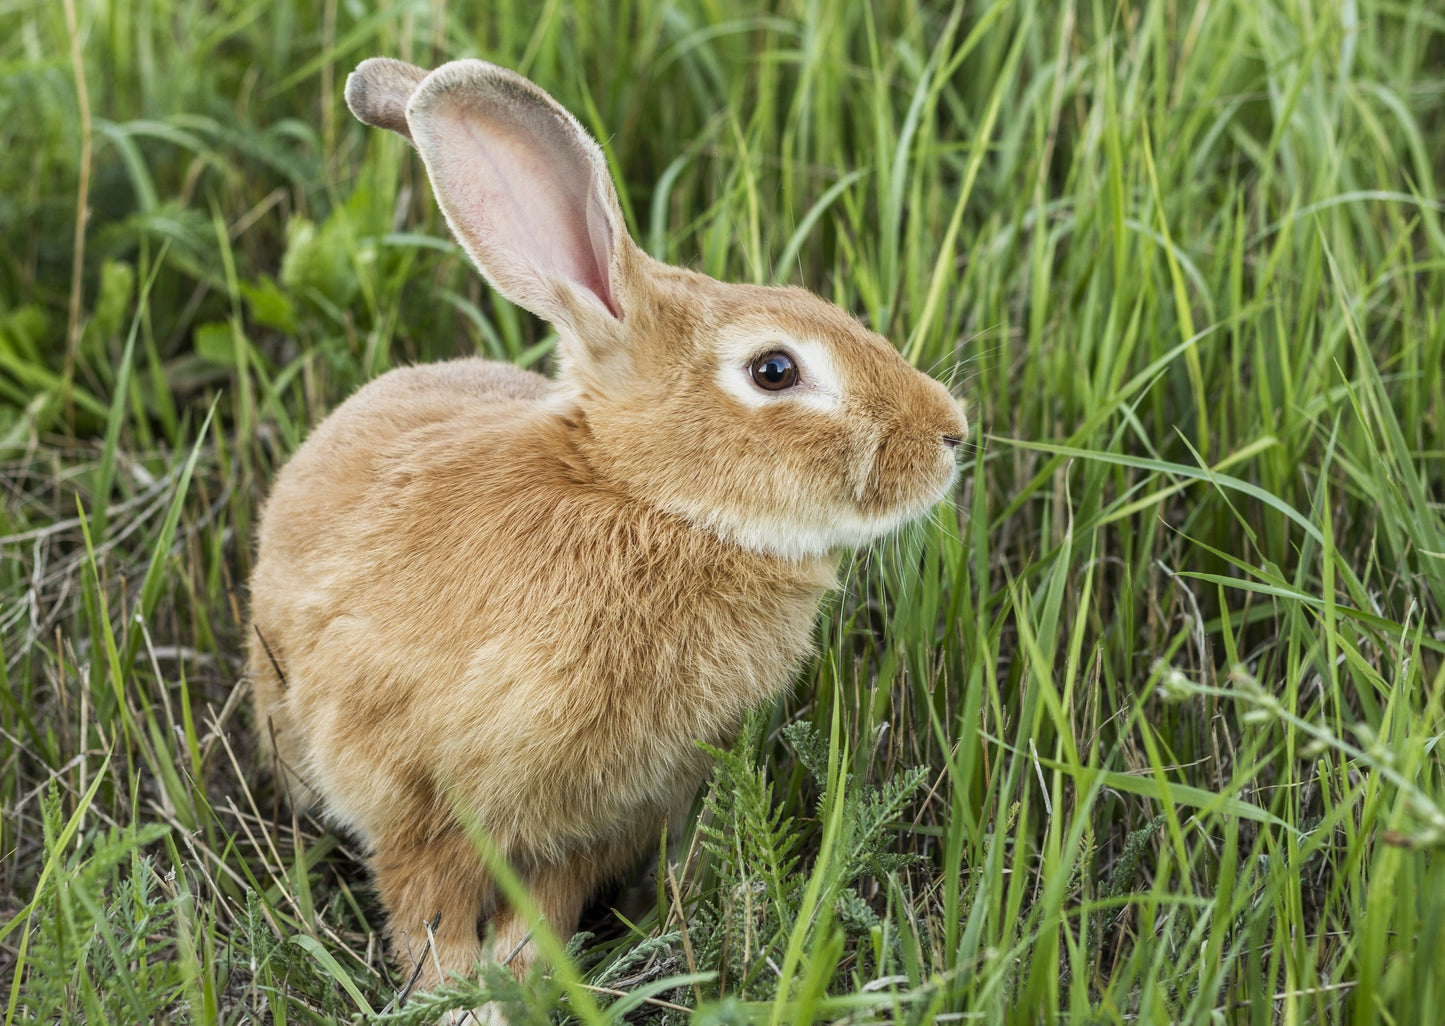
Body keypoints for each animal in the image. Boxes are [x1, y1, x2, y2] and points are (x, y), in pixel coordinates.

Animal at [246, 55, 969, 1010]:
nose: (951, 434)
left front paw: (526, 983)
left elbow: (547, 903)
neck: (642, 499)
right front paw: (461, 998)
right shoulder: (408, 787)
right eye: (774, 370)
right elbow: (424, 903)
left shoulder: (602, 815)